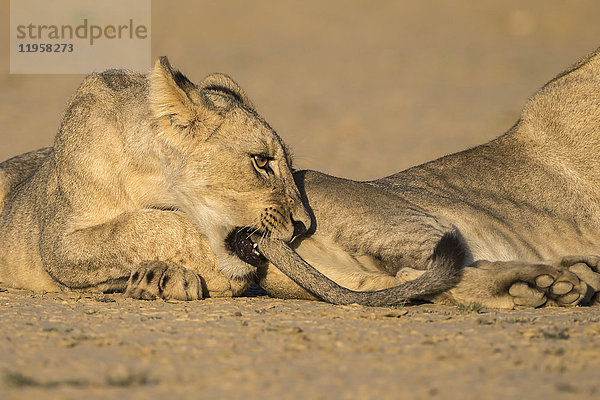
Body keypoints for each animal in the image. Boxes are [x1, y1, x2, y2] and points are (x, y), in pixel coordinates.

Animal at [251, 46, 600, 310]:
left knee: (412, 281)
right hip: (414, 223)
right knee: (424, 272)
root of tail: (265, 234)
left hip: (363, 281)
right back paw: (550, 283)